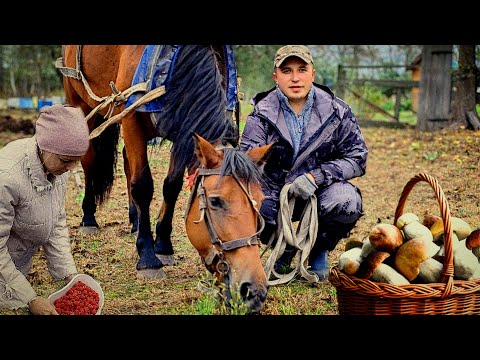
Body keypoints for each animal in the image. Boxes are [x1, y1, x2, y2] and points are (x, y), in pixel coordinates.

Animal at [58, 44, 270, 310]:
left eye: (260, 201)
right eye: (215, 201)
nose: (254, 290)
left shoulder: (183, 130)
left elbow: (171, 186)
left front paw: (163, 245)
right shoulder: (131, 119)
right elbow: (142, 186)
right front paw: (148, 257)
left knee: (127, 162)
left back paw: (135, 221)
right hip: (80, 103)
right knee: (89, 161)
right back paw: (89, 218)